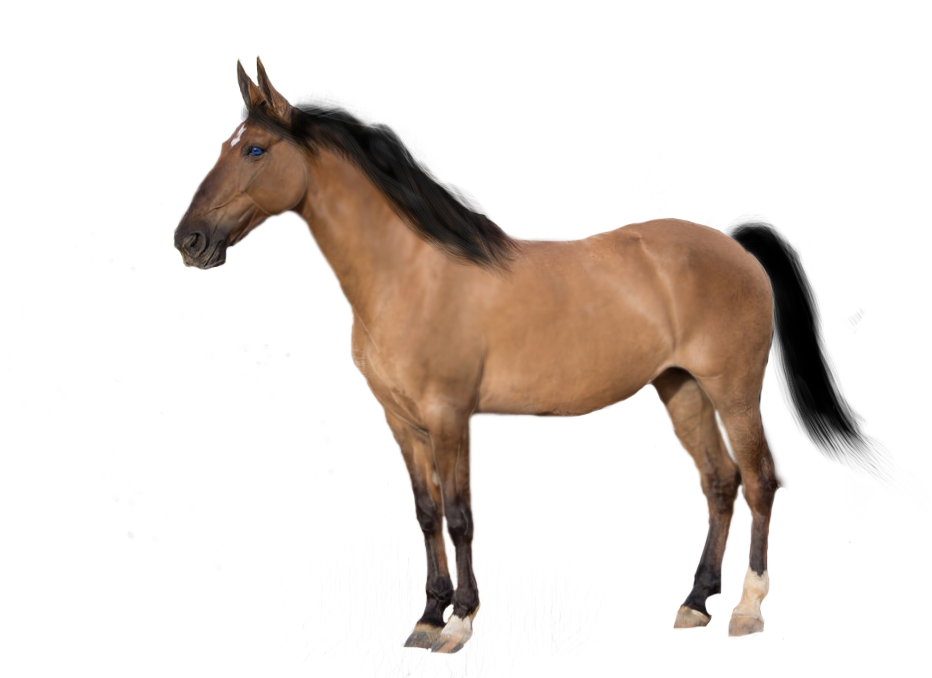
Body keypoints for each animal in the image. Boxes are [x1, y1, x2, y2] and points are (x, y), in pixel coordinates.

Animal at [173, 56, 876, 654]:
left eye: (256, 149)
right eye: (224, 146)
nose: (190, 240)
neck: (408, 274)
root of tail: (739, 249)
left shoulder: (451, 415)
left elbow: (461, 516)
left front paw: (459, 624)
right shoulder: (402, 422)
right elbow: (426, 514)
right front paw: (426, 619)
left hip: (732, 390)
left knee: (759, 480)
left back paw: (747, 612)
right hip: (682, 392)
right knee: (720, 484)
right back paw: (695, 604)